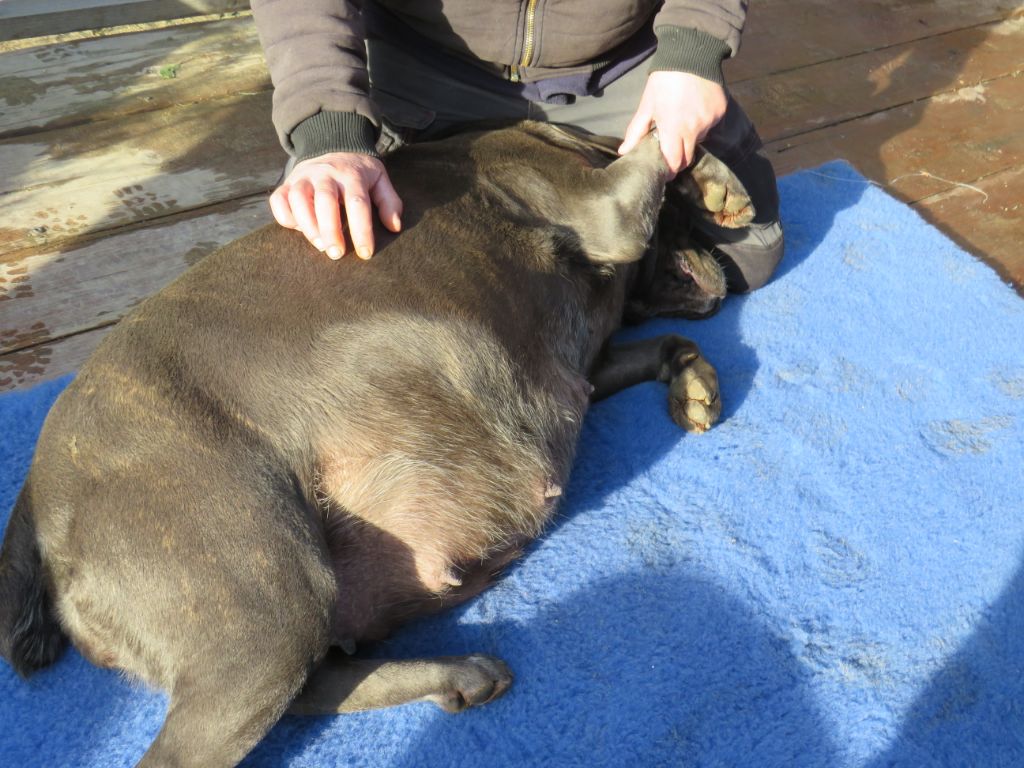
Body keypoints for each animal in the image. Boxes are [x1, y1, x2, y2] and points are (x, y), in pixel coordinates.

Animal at [0, 123, 753, 765]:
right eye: (683, 226)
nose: (728, 266)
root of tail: (34, 504)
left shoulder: (581, 372)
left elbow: (662, 344)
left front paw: (693, 379)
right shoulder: (608, 212)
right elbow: (652, 138)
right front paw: (707, 173)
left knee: (317, 686)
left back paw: (459, 673)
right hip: (266, 603)